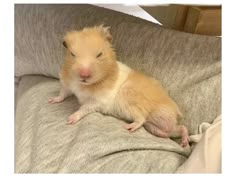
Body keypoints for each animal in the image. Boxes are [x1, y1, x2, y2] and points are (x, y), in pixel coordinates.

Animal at [48, 25, 190, 147]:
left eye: (99, 54)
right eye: (72, 54)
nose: (84, 75)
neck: (83, 84)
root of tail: (175, 110)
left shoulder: (96, 102)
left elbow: (83, 109)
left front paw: (70, 119)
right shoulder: (67, 84)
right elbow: (62, 94)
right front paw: (51, 100)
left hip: (133, 102)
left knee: (141, 119)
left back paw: (128, 127)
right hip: (158, 124)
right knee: (178, 128)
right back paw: (184, 142)